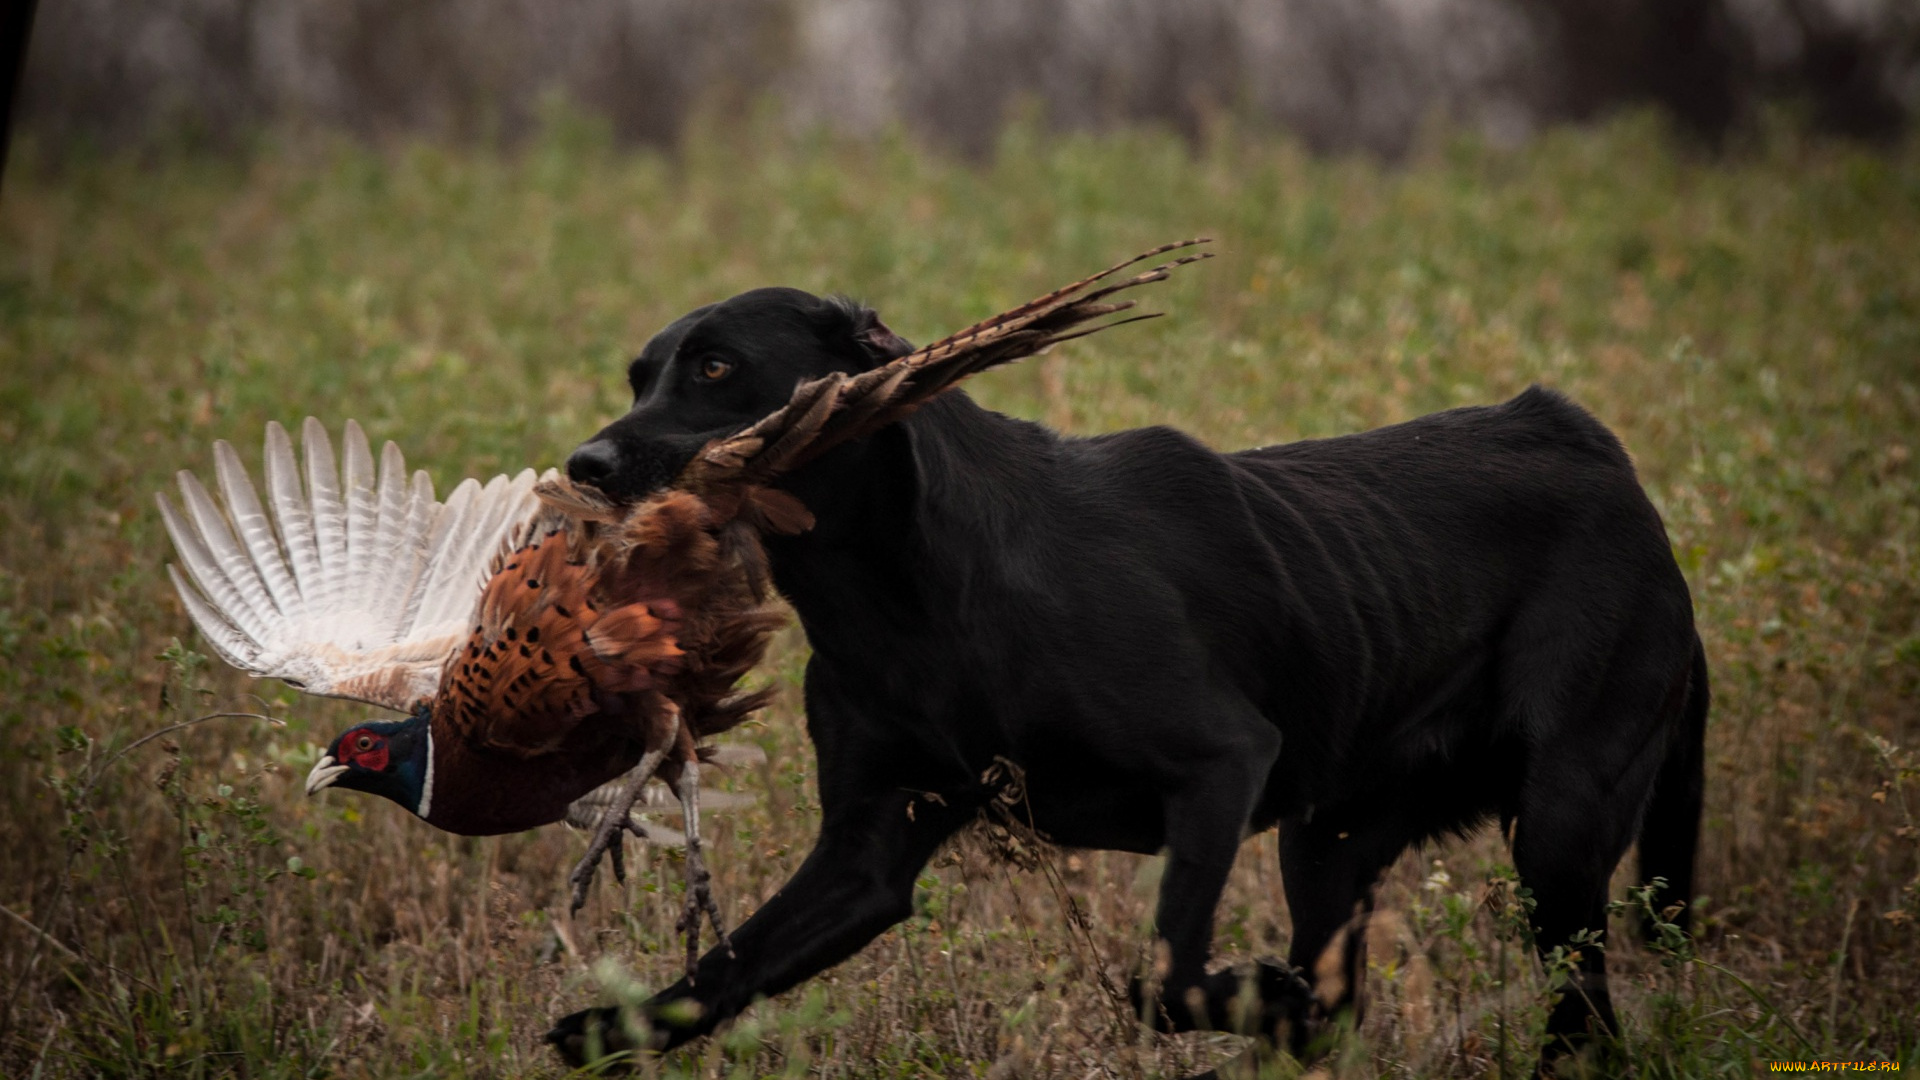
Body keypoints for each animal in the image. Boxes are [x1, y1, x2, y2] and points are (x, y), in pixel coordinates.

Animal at [545, 286, 1712, 1068]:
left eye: (715, 368)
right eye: (642, 375)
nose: (583, 468)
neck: (902, 594)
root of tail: (1598, 453)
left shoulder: (1221, 764)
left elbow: (1163, 977)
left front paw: (1250, 993)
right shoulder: (866, 854)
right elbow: (722, 971)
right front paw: (602, 1024)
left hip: (1559, 824)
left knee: (1585, 1015)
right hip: (1328, 840)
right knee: (1352, 993)